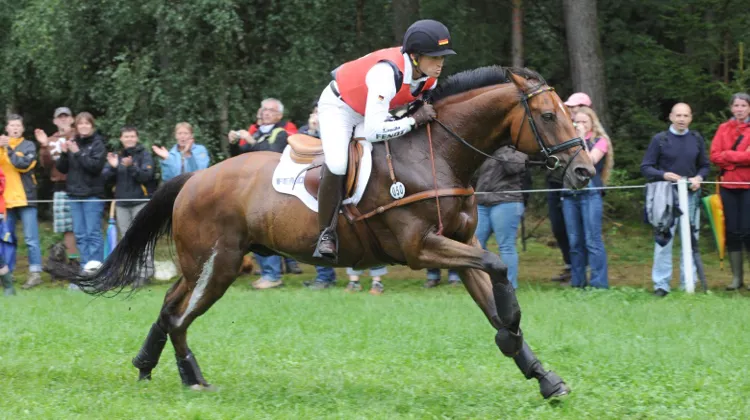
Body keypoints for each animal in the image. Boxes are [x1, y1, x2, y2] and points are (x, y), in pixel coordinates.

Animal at [74, 66, 594, 399]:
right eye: (548, 116)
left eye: (569, 113)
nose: (585, 171)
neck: (437, 154)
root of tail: (196, 175)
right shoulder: (423, 249)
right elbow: (499, 269)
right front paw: (513, 328)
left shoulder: (460, 246)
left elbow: (491, 292)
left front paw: (541, 374)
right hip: (218, 265)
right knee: (181, 319)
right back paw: (192, 378)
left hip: (198, 264)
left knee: (169, 308)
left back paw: (146, 363)